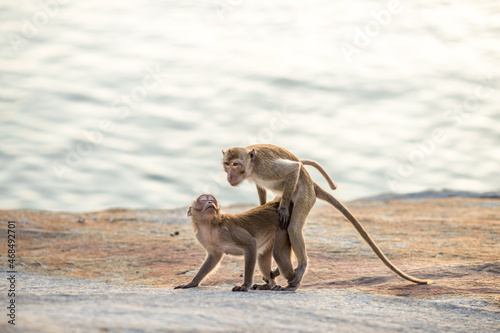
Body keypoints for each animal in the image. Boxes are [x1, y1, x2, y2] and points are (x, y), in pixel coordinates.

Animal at [221, 144, 432, 290]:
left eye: (235, 164)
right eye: (227, 165)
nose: (229, 176)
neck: (252, 166)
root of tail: (313, 185)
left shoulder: (266, 167)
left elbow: (293, 169)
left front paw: (283, 209)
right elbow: (261, 189)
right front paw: (262, 207)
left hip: (305, 197)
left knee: (294, 227)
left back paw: (300, 268)